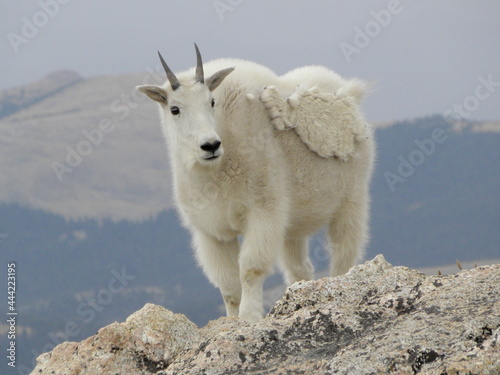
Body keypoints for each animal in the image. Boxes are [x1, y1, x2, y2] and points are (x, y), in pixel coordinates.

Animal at [138, 44, 376, 324]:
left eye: (211, 101)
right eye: (174, 109)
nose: (210, 145)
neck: (217, 171)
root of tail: (349, 92)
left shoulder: (263, 212)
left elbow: (250, 269)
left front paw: (249, 318)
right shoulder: (211, 231)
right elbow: (228, 284)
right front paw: (230, 321)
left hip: (352, 198)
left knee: (344, 255)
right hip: (292, 225)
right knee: (300, 267)